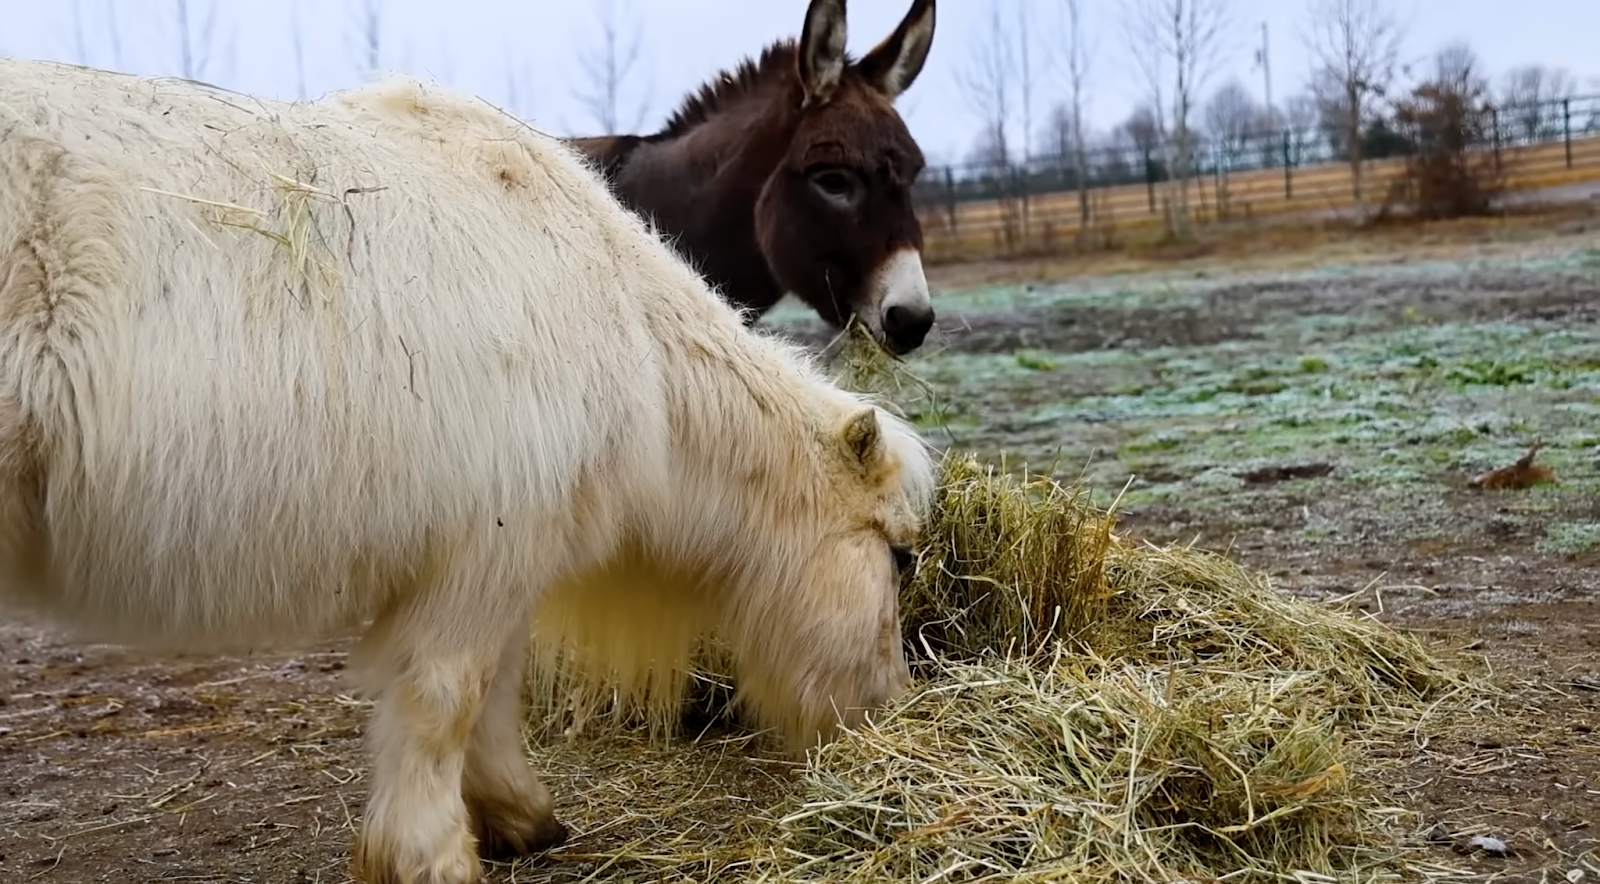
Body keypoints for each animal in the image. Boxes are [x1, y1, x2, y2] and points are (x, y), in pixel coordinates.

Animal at [0, 58, 936, 884]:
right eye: (898, 556)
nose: (894, 707)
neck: (628, 331)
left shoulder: (510, 562)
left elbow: (493, 692)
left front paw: (519, 815)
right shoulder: (478, 560)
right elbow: (445, 699)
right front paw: (430, 856)